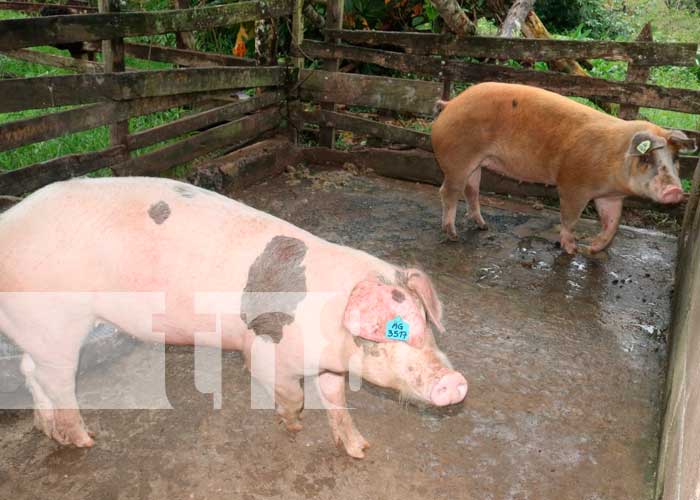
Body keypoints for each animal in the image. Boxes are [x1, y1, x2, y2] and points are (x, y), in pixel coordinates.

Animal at [1, 176, 470, 458]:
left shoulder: (330, 365)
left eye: (426, 323)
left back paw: (48, 430)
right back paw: (84, 440)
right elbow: (292, 393)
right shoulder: (264, 349)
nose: (454, 381)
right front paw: (293, 425)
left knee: (30, 372)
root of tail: (8, 221)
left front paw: (359, 449)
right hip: (55, 321)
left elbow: (336, 399)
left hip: (38, 329)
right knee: (58, 381)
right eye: (394, 329)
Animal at [432, 83, 696, 254]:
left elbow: (613, 223)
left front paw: (592, 249)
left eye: (675, 158)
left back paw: (484, 226)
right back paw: (453, 235)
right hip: (458, 160)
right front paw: (571, 250)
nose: (675, 191)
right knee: (448, 192)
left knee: (471, 191)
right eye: (647, 157)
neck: (613, 159)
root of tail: (449, 104)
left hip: (475, 163)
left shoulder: (610, 197)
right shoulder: (572, 185)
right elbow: (569, 218)